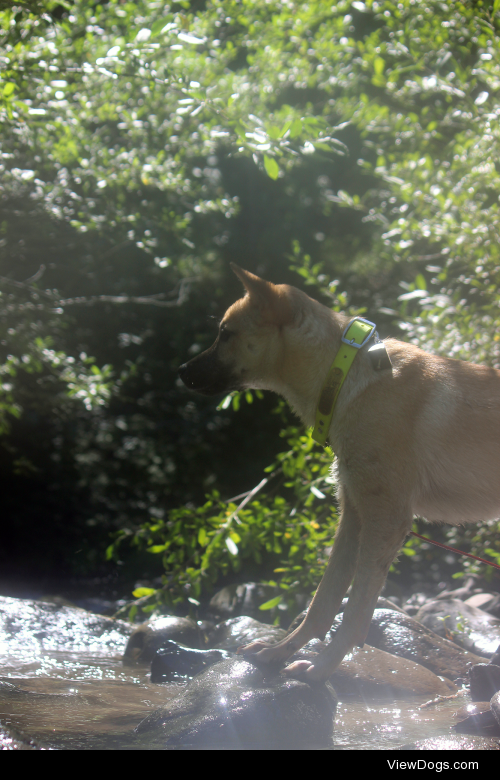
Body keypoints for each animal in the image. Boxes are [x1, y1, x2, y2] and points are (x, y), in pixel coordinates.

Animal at [179, 266, 500, 680]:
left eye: (225, 333)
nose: (181, 371)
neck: (345, 375)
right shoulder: (354, 517)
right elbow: (324, 600)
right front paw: (279, 652)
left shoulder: (386, 522)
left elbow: (355, 612)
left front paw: (321, 670)